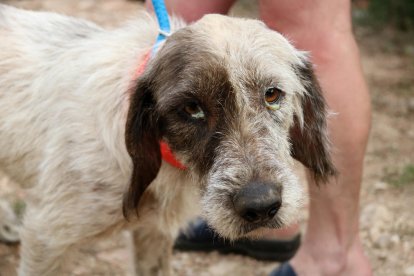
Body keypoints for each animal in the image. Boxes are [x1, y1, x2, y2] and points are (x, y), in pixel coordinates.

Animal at [0, 4, 336, 276]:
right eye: (191, 108)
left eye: (272, 94)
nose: (261, 205)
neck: (164, 156)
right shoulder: (47, 237)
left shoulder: (153, 232)